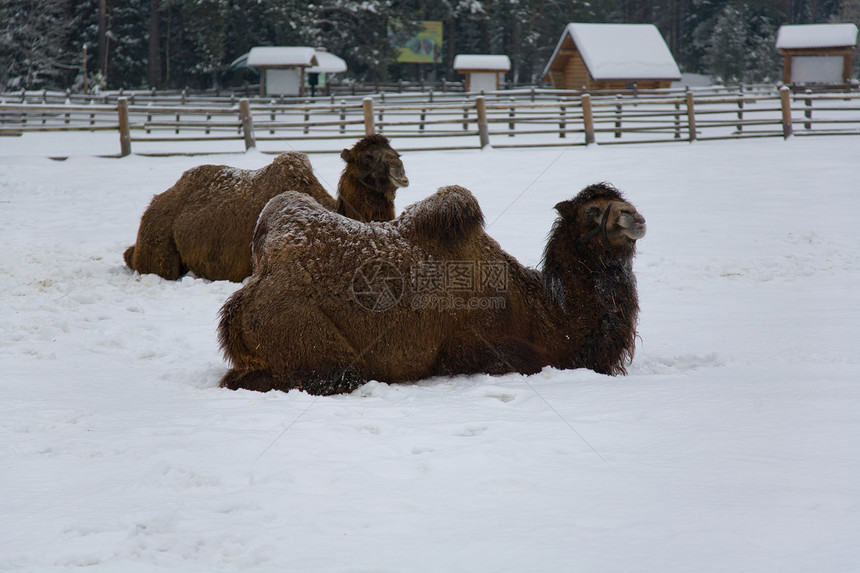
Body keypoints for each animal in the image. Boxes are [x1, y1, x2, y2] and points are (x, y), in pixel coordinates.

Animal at [218, 182, 648, 394]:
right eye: (592, 211)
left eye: (621, 202)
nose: (636, 217)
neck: (548, 314)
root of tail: (240, 304)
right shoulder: (481, 346)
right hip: (308, 339)